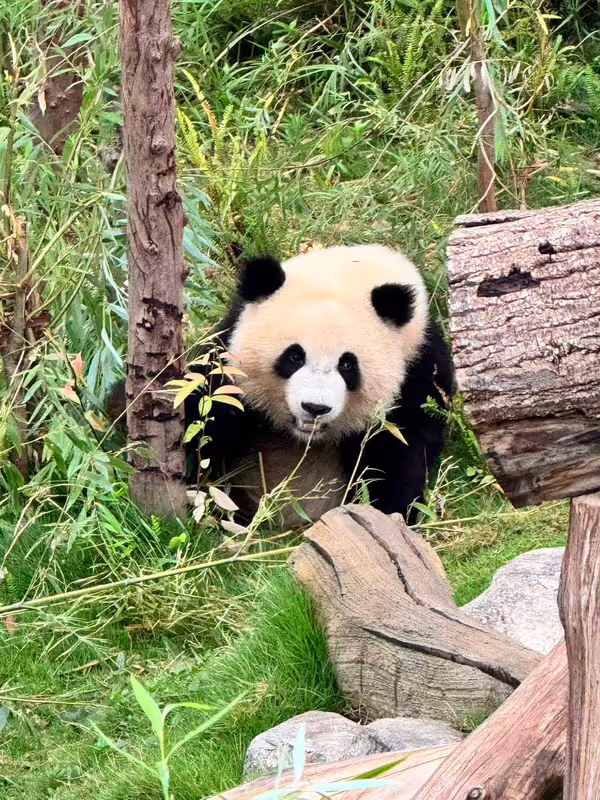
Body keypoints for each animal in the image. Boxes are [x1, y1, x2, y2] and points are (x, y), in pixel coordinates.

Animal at [184, 244, 455, 525]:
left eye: (347, 364)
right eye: (294, 356)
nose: (315, 407)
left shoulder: (419, 371)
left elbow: (400, 454)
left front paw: (388, 512)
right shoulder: (227, 346)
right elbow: (208, 409)